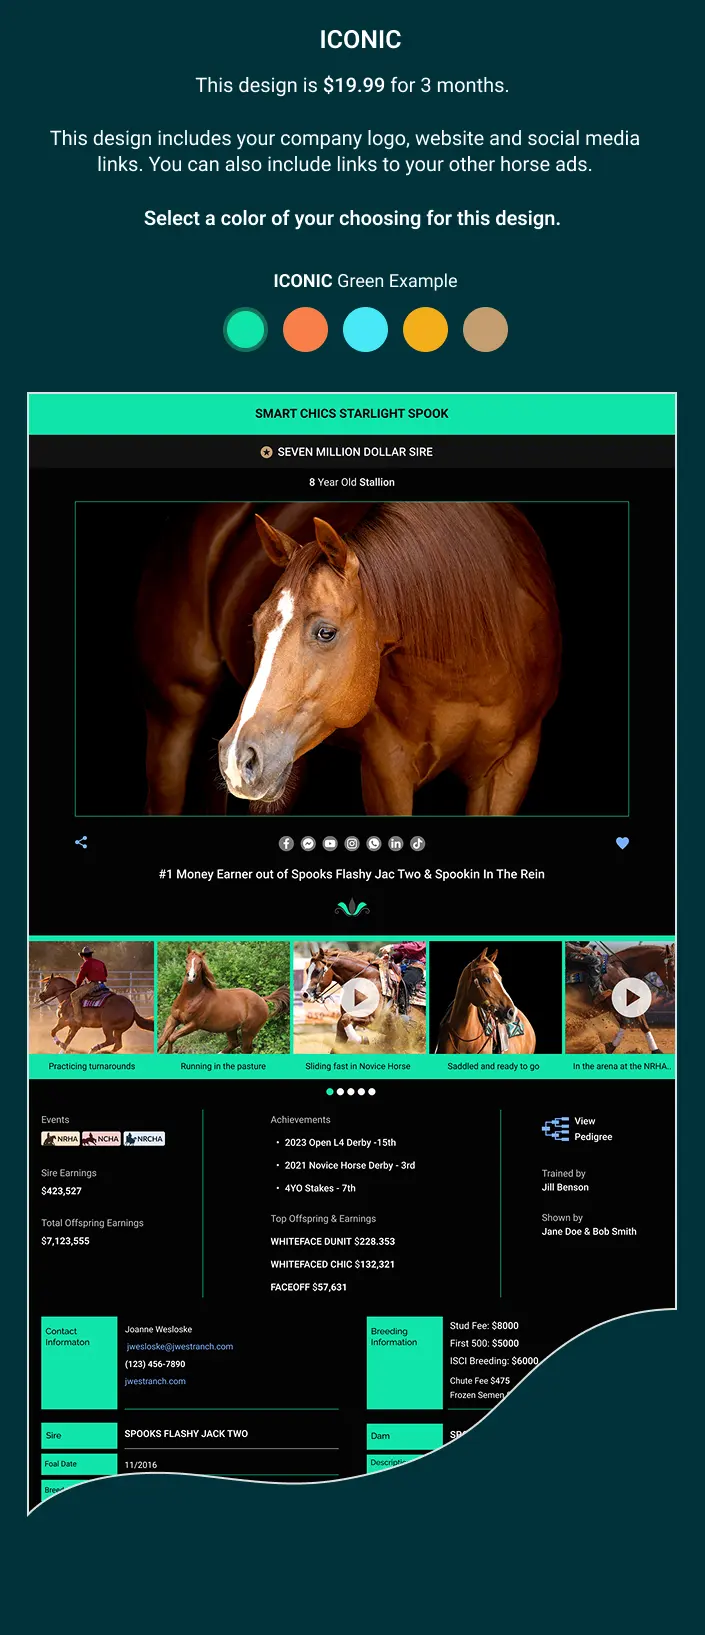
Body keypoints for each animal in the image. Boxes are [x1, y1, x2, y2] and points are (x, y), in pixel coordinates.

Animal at [157, 949, 288, 1054]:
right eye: (186, 960)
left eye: (200, 963)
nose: (191, 977)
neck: (190, 998)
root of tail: (261, 999)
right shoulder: (173, 1018)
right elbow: (161, 1040)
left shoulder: (193, 1025)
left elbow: (171, 1038)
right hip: (231, 1028)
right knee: (234, 1044)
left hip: (248, 1031)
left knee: (246, 1049)